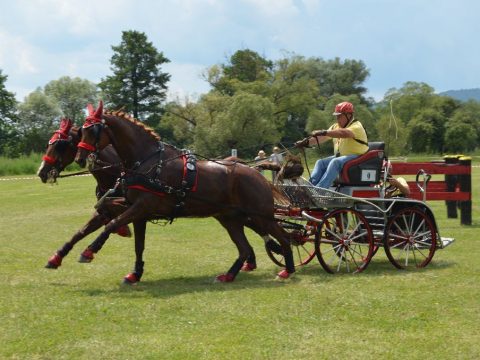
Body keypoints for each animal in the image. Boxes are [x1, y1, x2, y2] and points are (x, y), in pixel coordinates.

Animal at [37, 119, 131, 270]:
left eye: (60, 146)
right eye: (48, 144)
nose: (41, 172)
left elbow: (113, 222)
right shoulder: (102, 212)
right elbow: (80, 232)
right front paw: (56, 258)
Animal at [74, 100, 294, 282]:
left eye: (92, 130)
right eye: (81, 131)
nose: (80, 157)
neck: (149, 163)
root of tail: (256, 172)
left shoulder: (142, 206)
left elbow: (113, 223)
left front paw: (89, 251)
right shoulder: (135, 208)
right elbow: (127, 231)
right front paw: (134, 271)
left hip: (261, 215)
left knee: (283, 236)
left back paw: (288, 269)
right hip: (229, 218)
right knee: (244, 248)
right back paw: (229, 275)